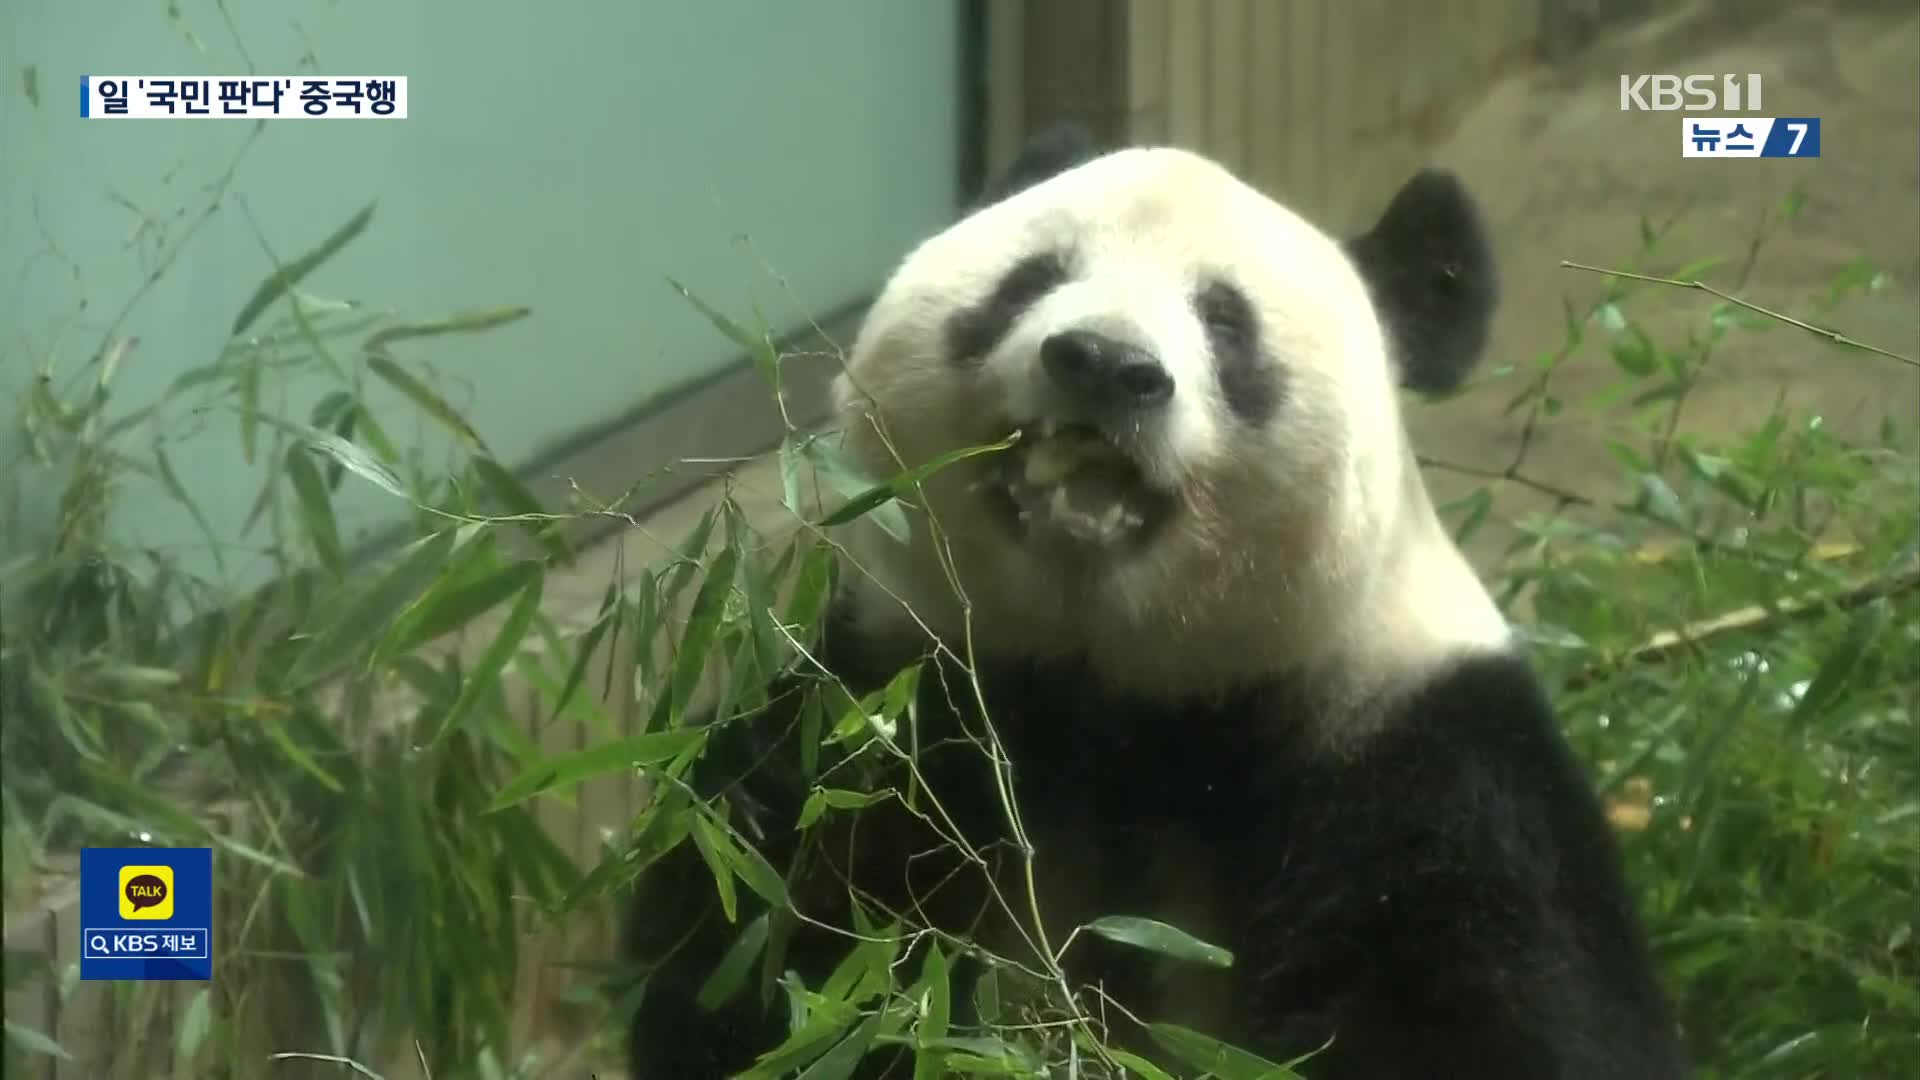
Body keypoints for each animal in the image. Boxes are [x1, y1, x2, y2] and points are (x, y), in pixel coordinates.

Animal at [622, 127, 1689, 1076]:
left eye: (1225, 321)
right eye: (1032, 279)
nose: (1102, 362)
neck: (1115, 683)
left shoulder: (1424, 761)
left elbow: (1497, 1013)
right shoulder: (902, 699)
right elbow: (765, 950)